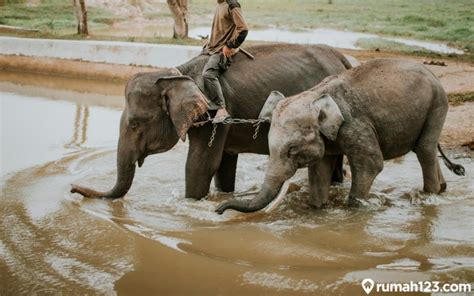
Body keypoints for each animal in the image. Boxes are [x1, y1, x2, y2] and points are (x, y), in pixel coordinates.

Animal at [70, 43, 352, 199]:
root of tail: (344, 60)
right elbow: (224, 164)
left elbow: (201, 165)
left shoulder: (213, 115)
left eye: (136, 124)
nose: (72, 189)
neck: (176, 75)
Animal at [217, 59, 464, 214]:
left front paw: (355, 208)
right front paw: (317, 209)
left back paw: (429, 196)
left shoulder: (355, 125)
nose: (218, 210)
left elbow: (372, 164)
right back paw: (442, 189)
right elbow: (319, 170)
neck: (316, 94)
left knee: (425, 150)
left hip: (437, 105)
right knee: (425, 150)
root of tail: (432, 74)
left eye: (292, 150)